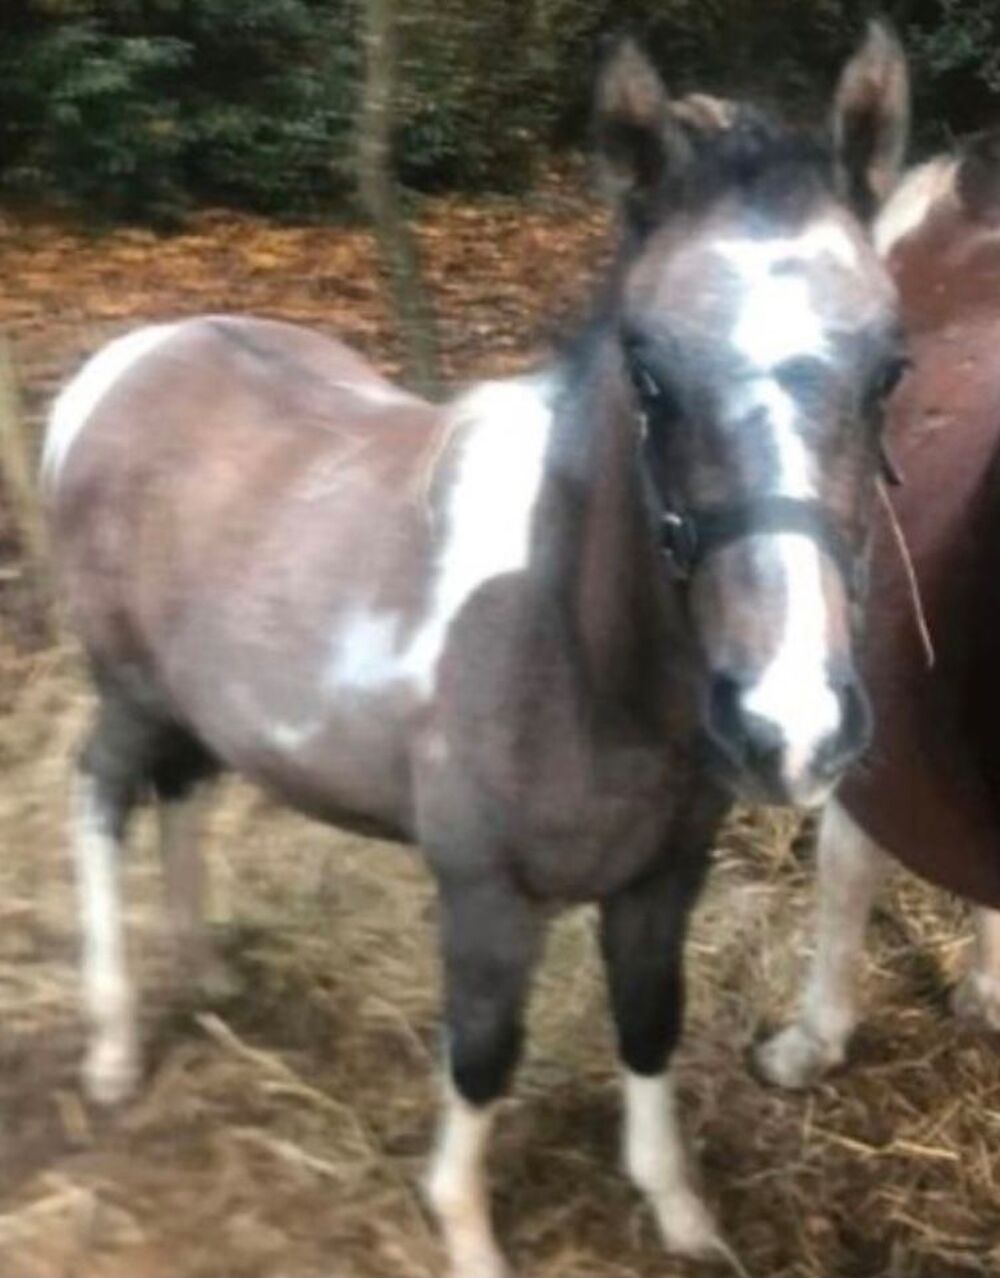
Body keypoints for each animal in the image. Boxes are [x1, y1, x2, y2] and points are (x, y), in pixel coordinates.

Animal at [44, 27, 909, 1276]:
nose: (790, 728)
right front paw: (462, 1227)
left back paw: (202, 971)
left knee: (184, 794)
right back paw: (113, 1049)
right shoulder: (486, 893)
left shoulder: (663, 880)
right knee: (100, 799)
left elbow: (649, 1024)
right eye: (647, 369)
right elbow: (484, 1053)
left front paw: (679, 1212)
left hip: (194, 710)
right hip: (126, 693)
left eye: (889, 368)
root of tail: (122, 367)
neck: (575, 651)